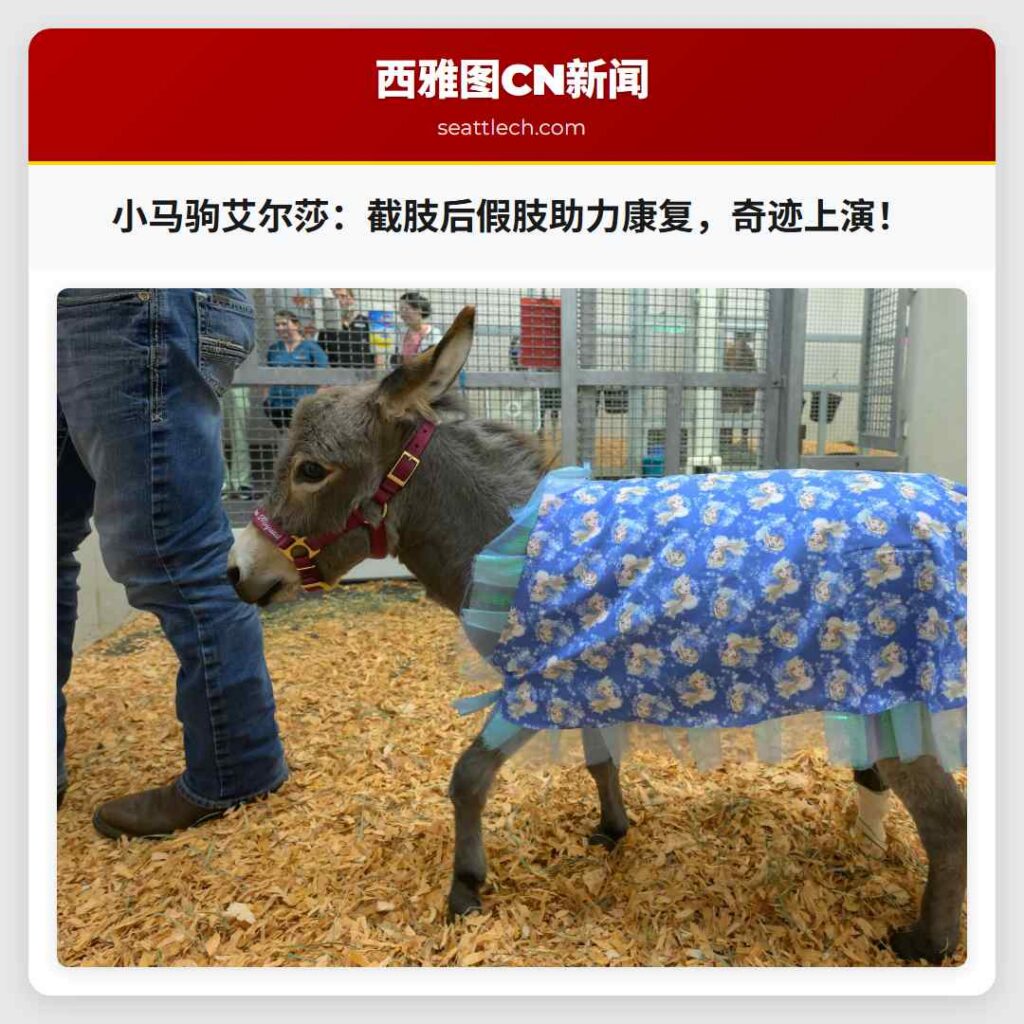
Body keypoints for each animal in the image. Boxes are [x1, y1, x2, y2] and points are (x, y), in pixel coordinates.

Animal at [229, 306, 967, 964]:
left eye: (312, 470)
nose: (237, 570)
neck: (509, 537)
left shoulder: (533, 687)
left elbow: (468, 779)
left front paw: (465, 887)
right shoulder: (584, 678)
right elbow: (598, 760)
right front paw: (613, 829)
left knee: (946, 817)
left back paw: (925, 944)